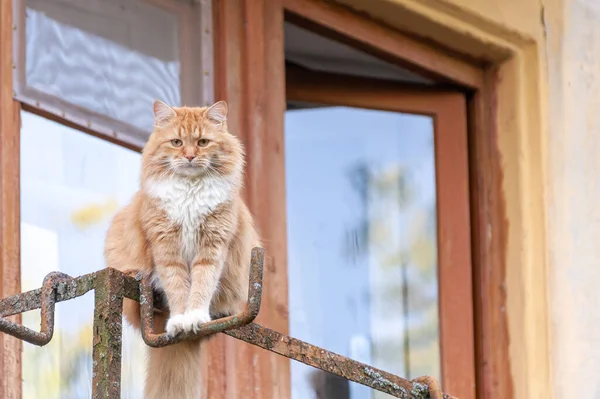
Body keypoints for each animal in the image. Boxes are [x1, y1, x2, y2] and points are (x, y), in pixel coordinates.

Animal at [104, 98, 258, 398]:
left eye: (202, 142)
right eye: (176, 142)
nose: (188, 156)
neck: (190, 192)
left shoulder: (212, 248)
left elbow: (200, 287)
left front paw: (194, 317)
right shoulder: (167, 249)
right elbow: (177, 289)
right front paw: (179, 321)